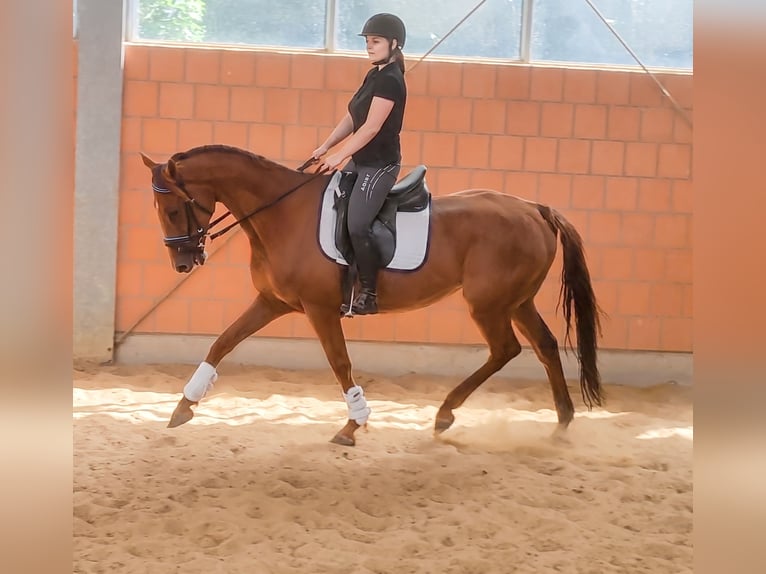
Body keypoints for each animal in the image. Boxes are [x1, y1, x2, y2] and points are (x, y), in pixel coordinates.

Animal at [139, 144, 604, 446]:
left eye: (174, 209)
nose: (183, 264)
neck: (282, 214)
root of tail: (535, 209)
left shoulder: (319, 309)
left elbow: (340, 362)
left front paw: (353, 424)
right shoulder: (274, 302)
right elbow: (223, 342)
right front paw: (183, 407)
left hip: (488, 304)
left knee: (506, 349)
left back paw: (445, 414)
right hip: (517, 301)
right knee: (544, 346)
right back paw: (561, 422)